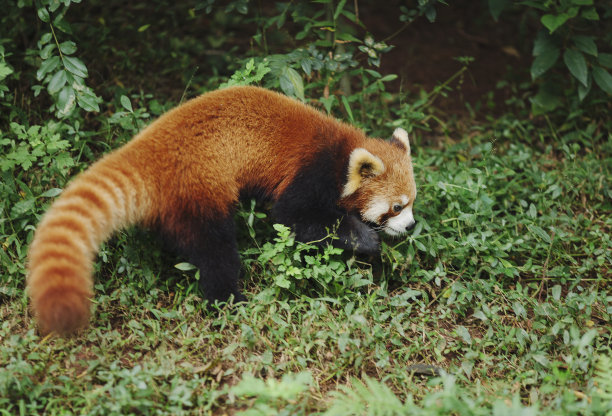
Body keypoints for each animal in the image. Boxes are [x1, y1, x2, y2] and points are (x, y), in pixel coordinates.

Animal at [26, 87, 418, 334]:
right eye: (396, 207)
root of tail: (148, 149)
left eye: (412, 203)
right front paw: (366, 240)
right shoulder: (310, 172)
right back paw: (230, 300)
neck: (342, 154)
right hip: (199, 189)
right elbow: (294, 218)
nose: (411, 226)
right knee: (215, 251)